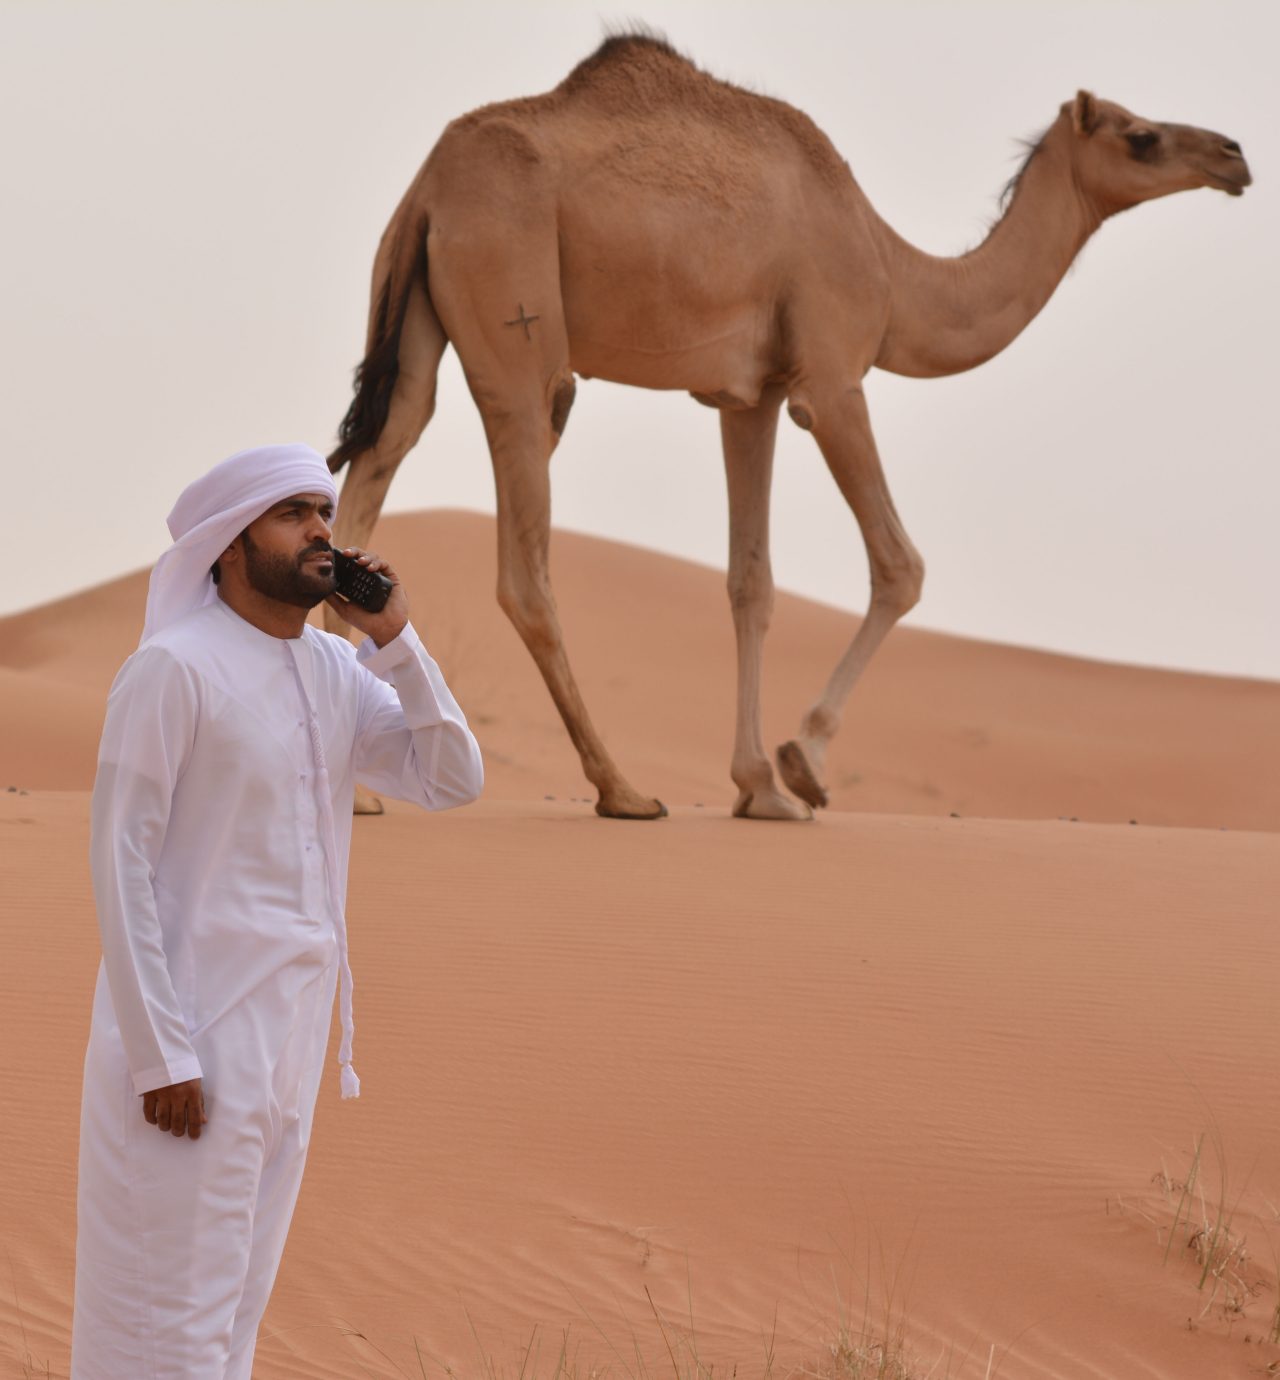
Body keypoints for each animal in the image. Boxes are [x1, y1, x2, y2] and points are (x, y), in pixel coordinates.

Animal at [325, 32, 1252, 816]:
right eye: (1141, 137)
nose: (1234, 155)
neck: (893, 272)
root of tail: (429, 189)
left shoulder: (751, 397)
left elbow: (752, 583)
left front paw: (757, 787)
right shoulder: (832, 380)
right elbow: (901, 565)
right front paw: (804, 764)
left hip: (411, 318)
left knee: (377, 465)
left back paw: (365, 792)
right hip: (517, 322)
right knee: (525, 560)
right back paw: (622, 789)